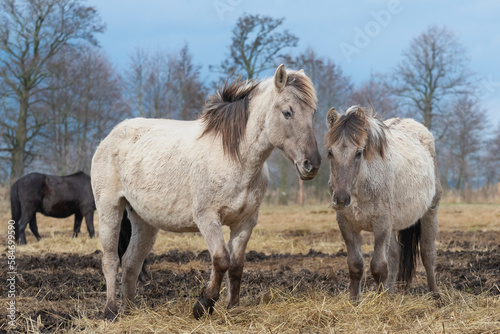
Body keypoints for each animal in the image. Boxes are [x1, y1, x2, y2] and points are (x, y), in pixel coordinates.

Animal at [91, 64, 322, 320]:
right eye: (287, 112)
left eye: (312, 113)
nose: (311, 164)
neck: (235, 158)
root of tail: (110, 137)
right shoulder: (207, 217)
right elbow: (221, 260)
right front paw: (204, 304)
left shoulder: (245, 222)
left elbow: (237, 265)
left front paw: (233, 307)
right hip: (109, 209)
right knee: (111, 260)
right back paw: (111, 310)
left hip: (144, 221)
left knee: (131, 262)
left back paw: (130, 310)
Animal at [326, 105, 440, 302]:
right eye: (330, 152)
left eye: (359, 153)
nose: (341, 198)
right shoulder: (347, 225)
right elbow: (355, 265)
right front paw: (354, 301)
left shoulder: (381, 224)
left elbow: (378, 266)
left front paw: (380, 302)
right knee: (394, 254)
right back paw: (391, 293)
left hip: (430, 212)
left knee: (427, 253)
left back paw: (435, 295)